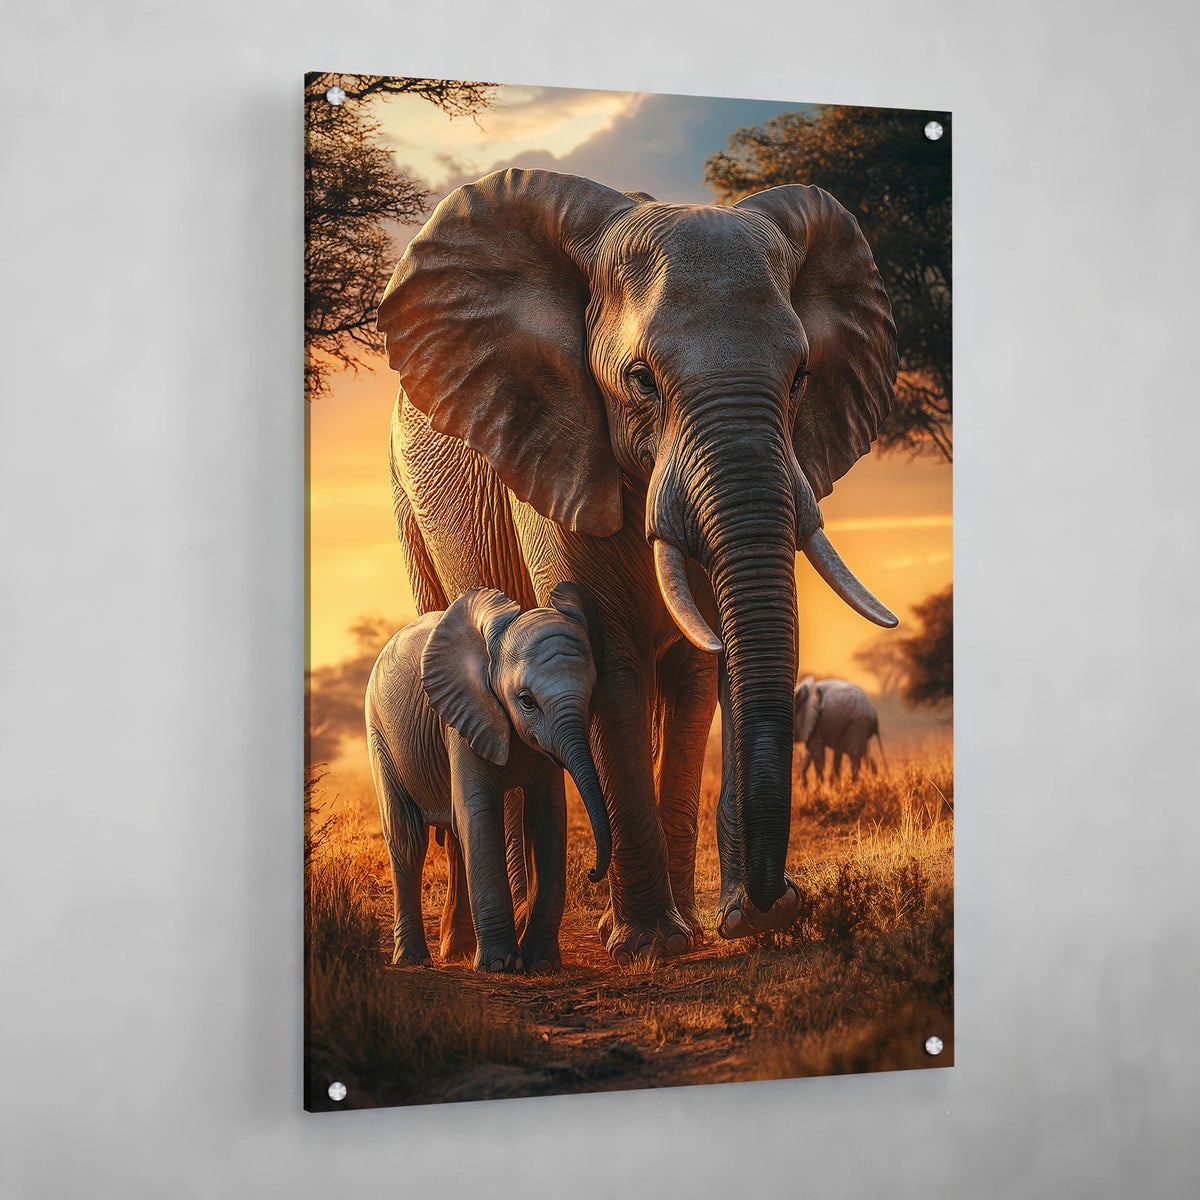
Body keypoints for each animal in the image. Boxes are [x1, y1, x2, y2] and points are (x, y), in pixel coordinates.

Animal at [364, 584, 610, 973]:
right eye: (526, 700)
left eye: (589, 697)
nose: (591, 872)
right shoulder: (461, 717)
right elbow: (480, 816)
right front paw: (499, 965)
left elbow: (548, 816)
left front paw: (541, 963)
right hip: (380, 735)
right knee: (408, 840)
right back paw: (413, 960)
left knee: (455, 836)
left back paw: (457, 952)